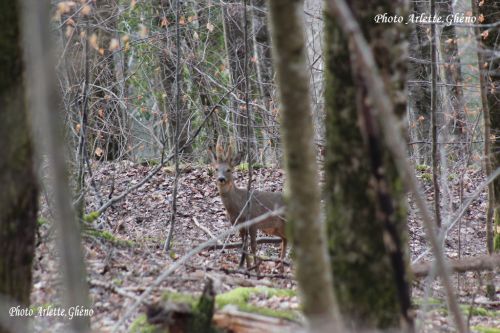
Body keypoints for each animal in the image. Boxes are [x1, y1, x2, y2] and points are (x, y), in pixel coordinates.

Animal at [207, 139, 286, 272]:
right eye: (216, 169)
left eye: (229, 169)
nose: (221, 179)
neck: (238, 207)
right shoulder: (238, 225)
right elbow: (244, 245)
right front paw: (246, 267)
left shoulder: (253, 222)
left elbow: (253, 246)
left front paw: (256, 270)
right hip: (275, 228)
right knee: (285, 240)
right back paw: (281, 268)